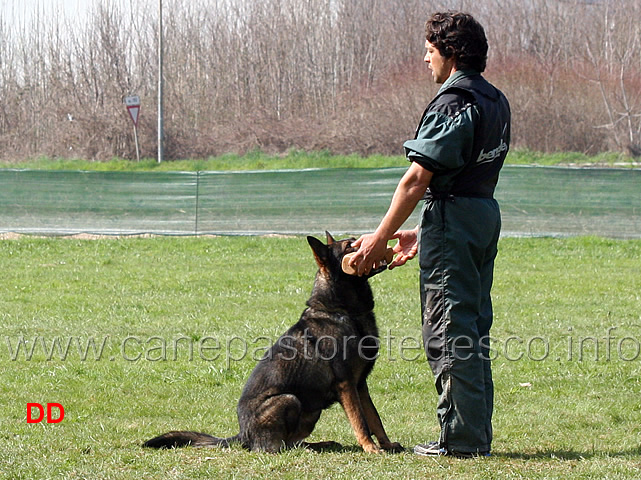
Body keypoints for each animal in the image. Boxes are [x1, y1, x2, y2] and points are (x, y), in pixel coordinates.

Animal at [144, 232, 400, 454]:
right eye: (349, 246)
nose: (378, 243)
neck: (343, 311)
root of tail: (242, 435)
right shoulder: (347, 385)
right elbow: (361, 421)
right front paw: (370, 448)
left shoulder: (360, 385)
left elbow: (375, 418)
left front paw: (386, 445)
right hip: (289, 400)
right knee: (277, 447)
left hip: (311, 412)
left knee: (293, 442)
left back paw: (319, 445)